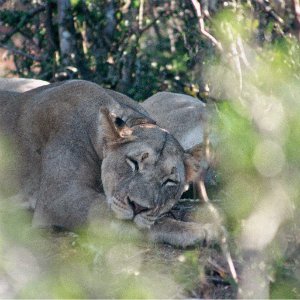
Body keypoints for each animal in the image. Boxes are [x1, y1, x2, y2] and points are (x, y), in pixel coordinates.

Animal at [0, 79, 220, 246]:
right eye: (133, 163)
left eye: (169, 181)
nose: (138, 207)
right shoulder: (60, 198)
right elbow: (138, 223)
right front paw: (198, 231)